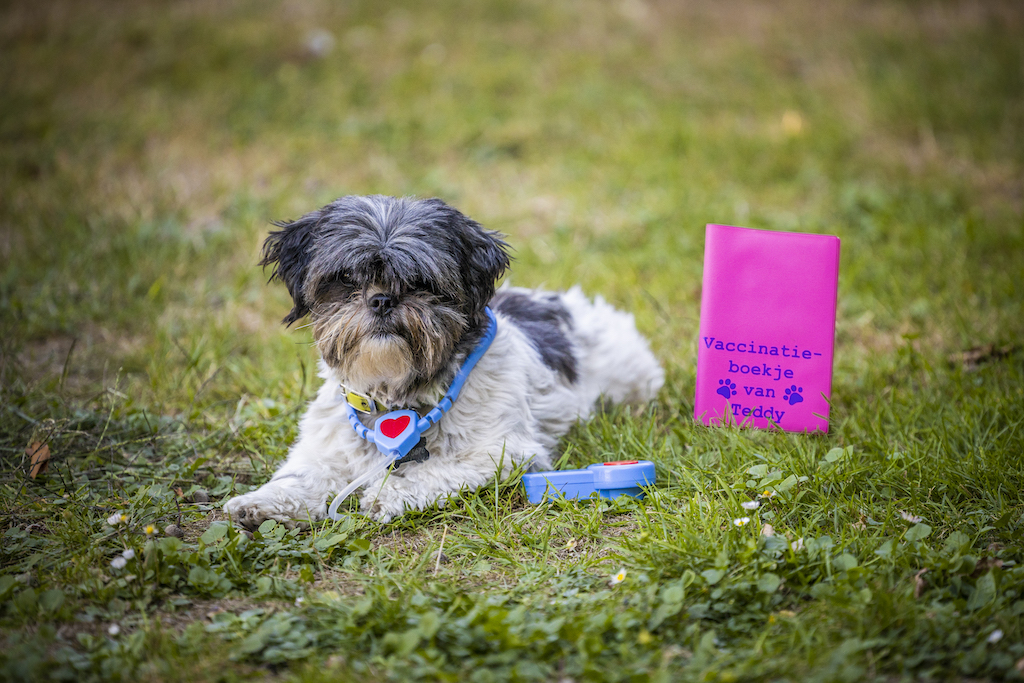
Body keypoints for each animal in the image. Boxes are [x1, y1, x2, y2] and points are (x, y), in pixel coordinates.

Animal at [222, 194, 663, 528]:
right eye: (346, 278)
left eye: (420, 281)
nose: (381, 299)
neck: (395, 393)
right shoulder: (323, 448)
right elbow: (301, 476)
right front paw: (260, 503)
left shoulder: (502, 452)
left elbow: (436, 469)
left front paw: (386, 493)